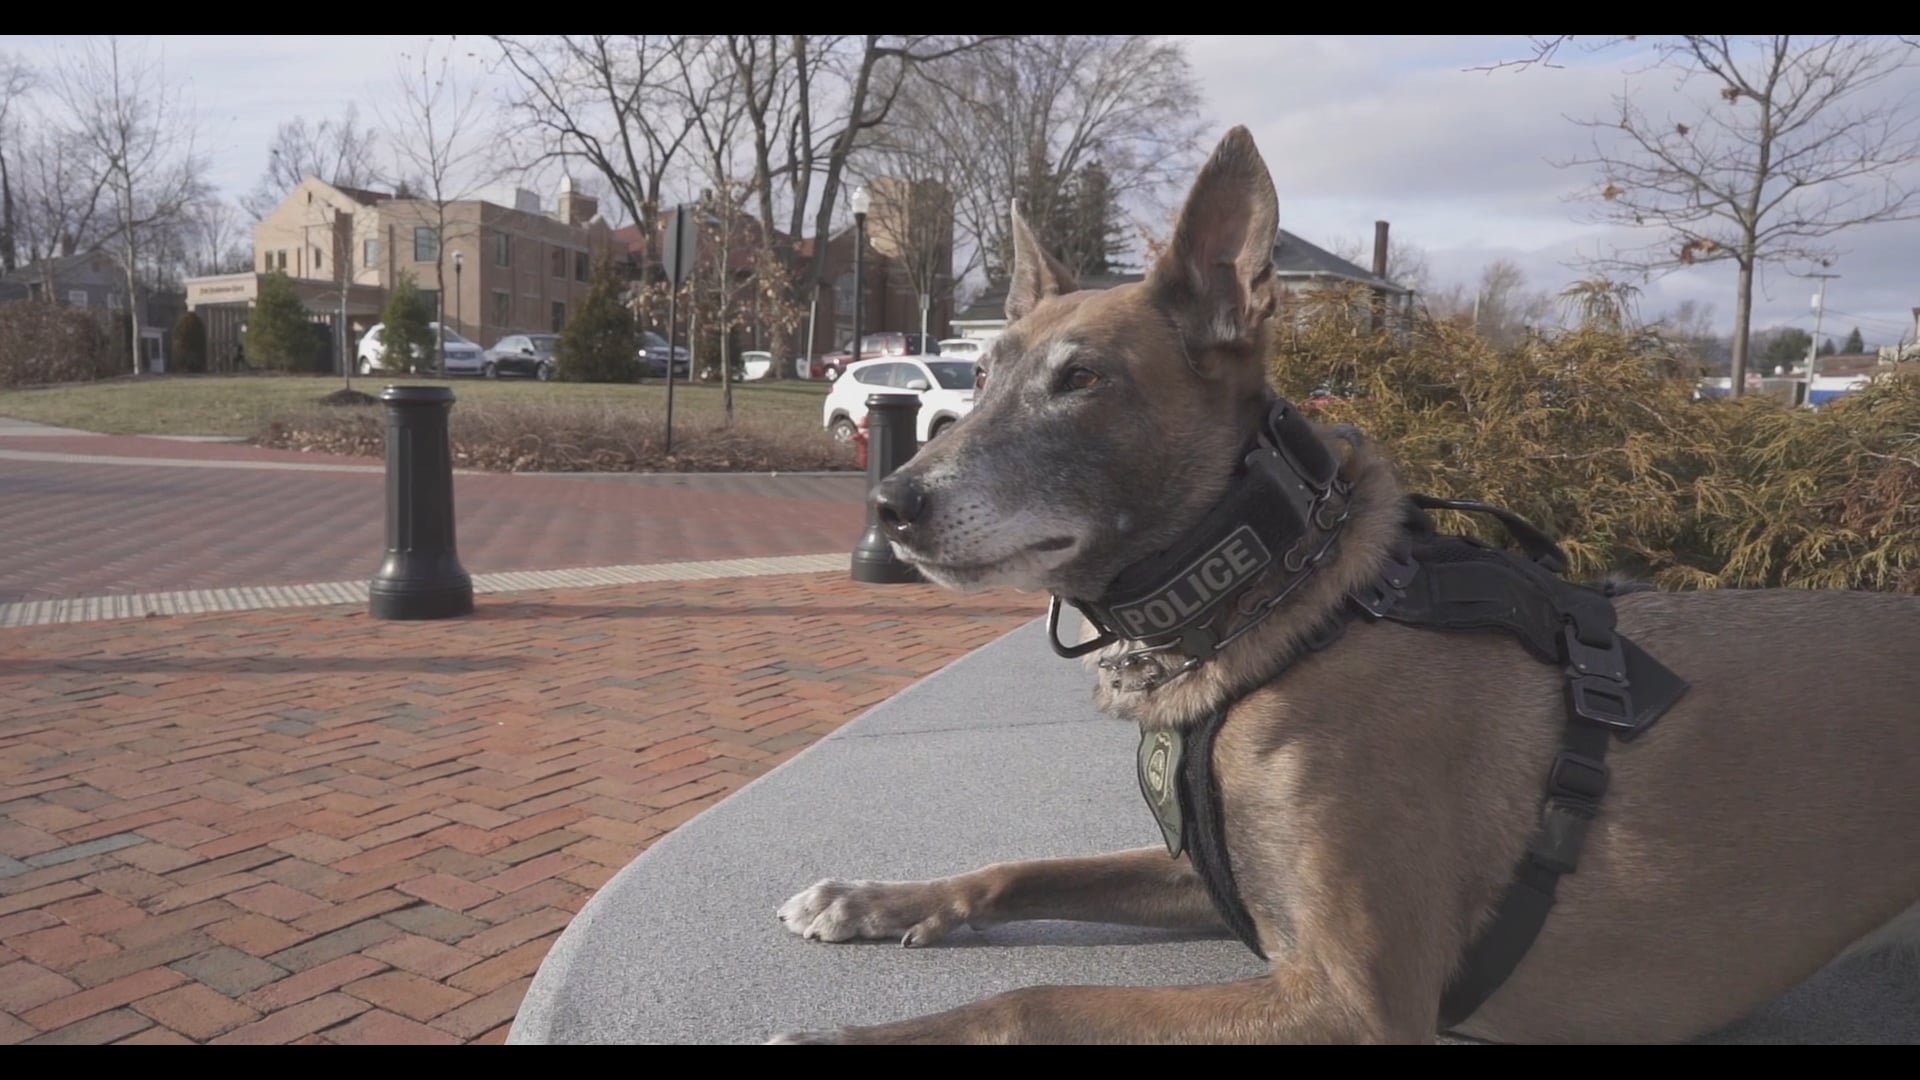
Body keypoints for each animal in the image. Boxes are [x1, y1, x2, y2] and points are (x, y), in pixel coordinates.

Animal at [764, 125, 1920, 1045]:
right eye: (986, 371)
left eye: (1082, 379)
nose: (891, 504)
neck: (1283, 612)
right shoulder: (1221, 882)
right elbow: (1020, 871)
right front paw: (872, 899)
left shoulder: (1351, 1001)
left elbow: (1032, 1003)